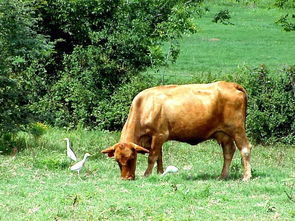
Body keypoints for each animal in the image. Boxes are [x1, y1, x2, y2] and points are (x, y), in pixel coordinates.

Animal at [102, 81, 252, 181]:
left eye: (132, 158)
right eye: (117, 160)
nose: (126, 178)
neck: (144, 106)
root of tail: (231, 84)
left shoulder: (159, 135)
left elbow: (152, 157)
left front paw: (147, 174)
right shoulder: (155, 139)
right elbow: (159, 156)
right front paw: (160, 172)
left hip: (237, 129)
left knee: (245, 149)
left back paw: (246, 176)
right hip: (223, 133)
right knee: (228, 151)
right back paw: (222, 175)